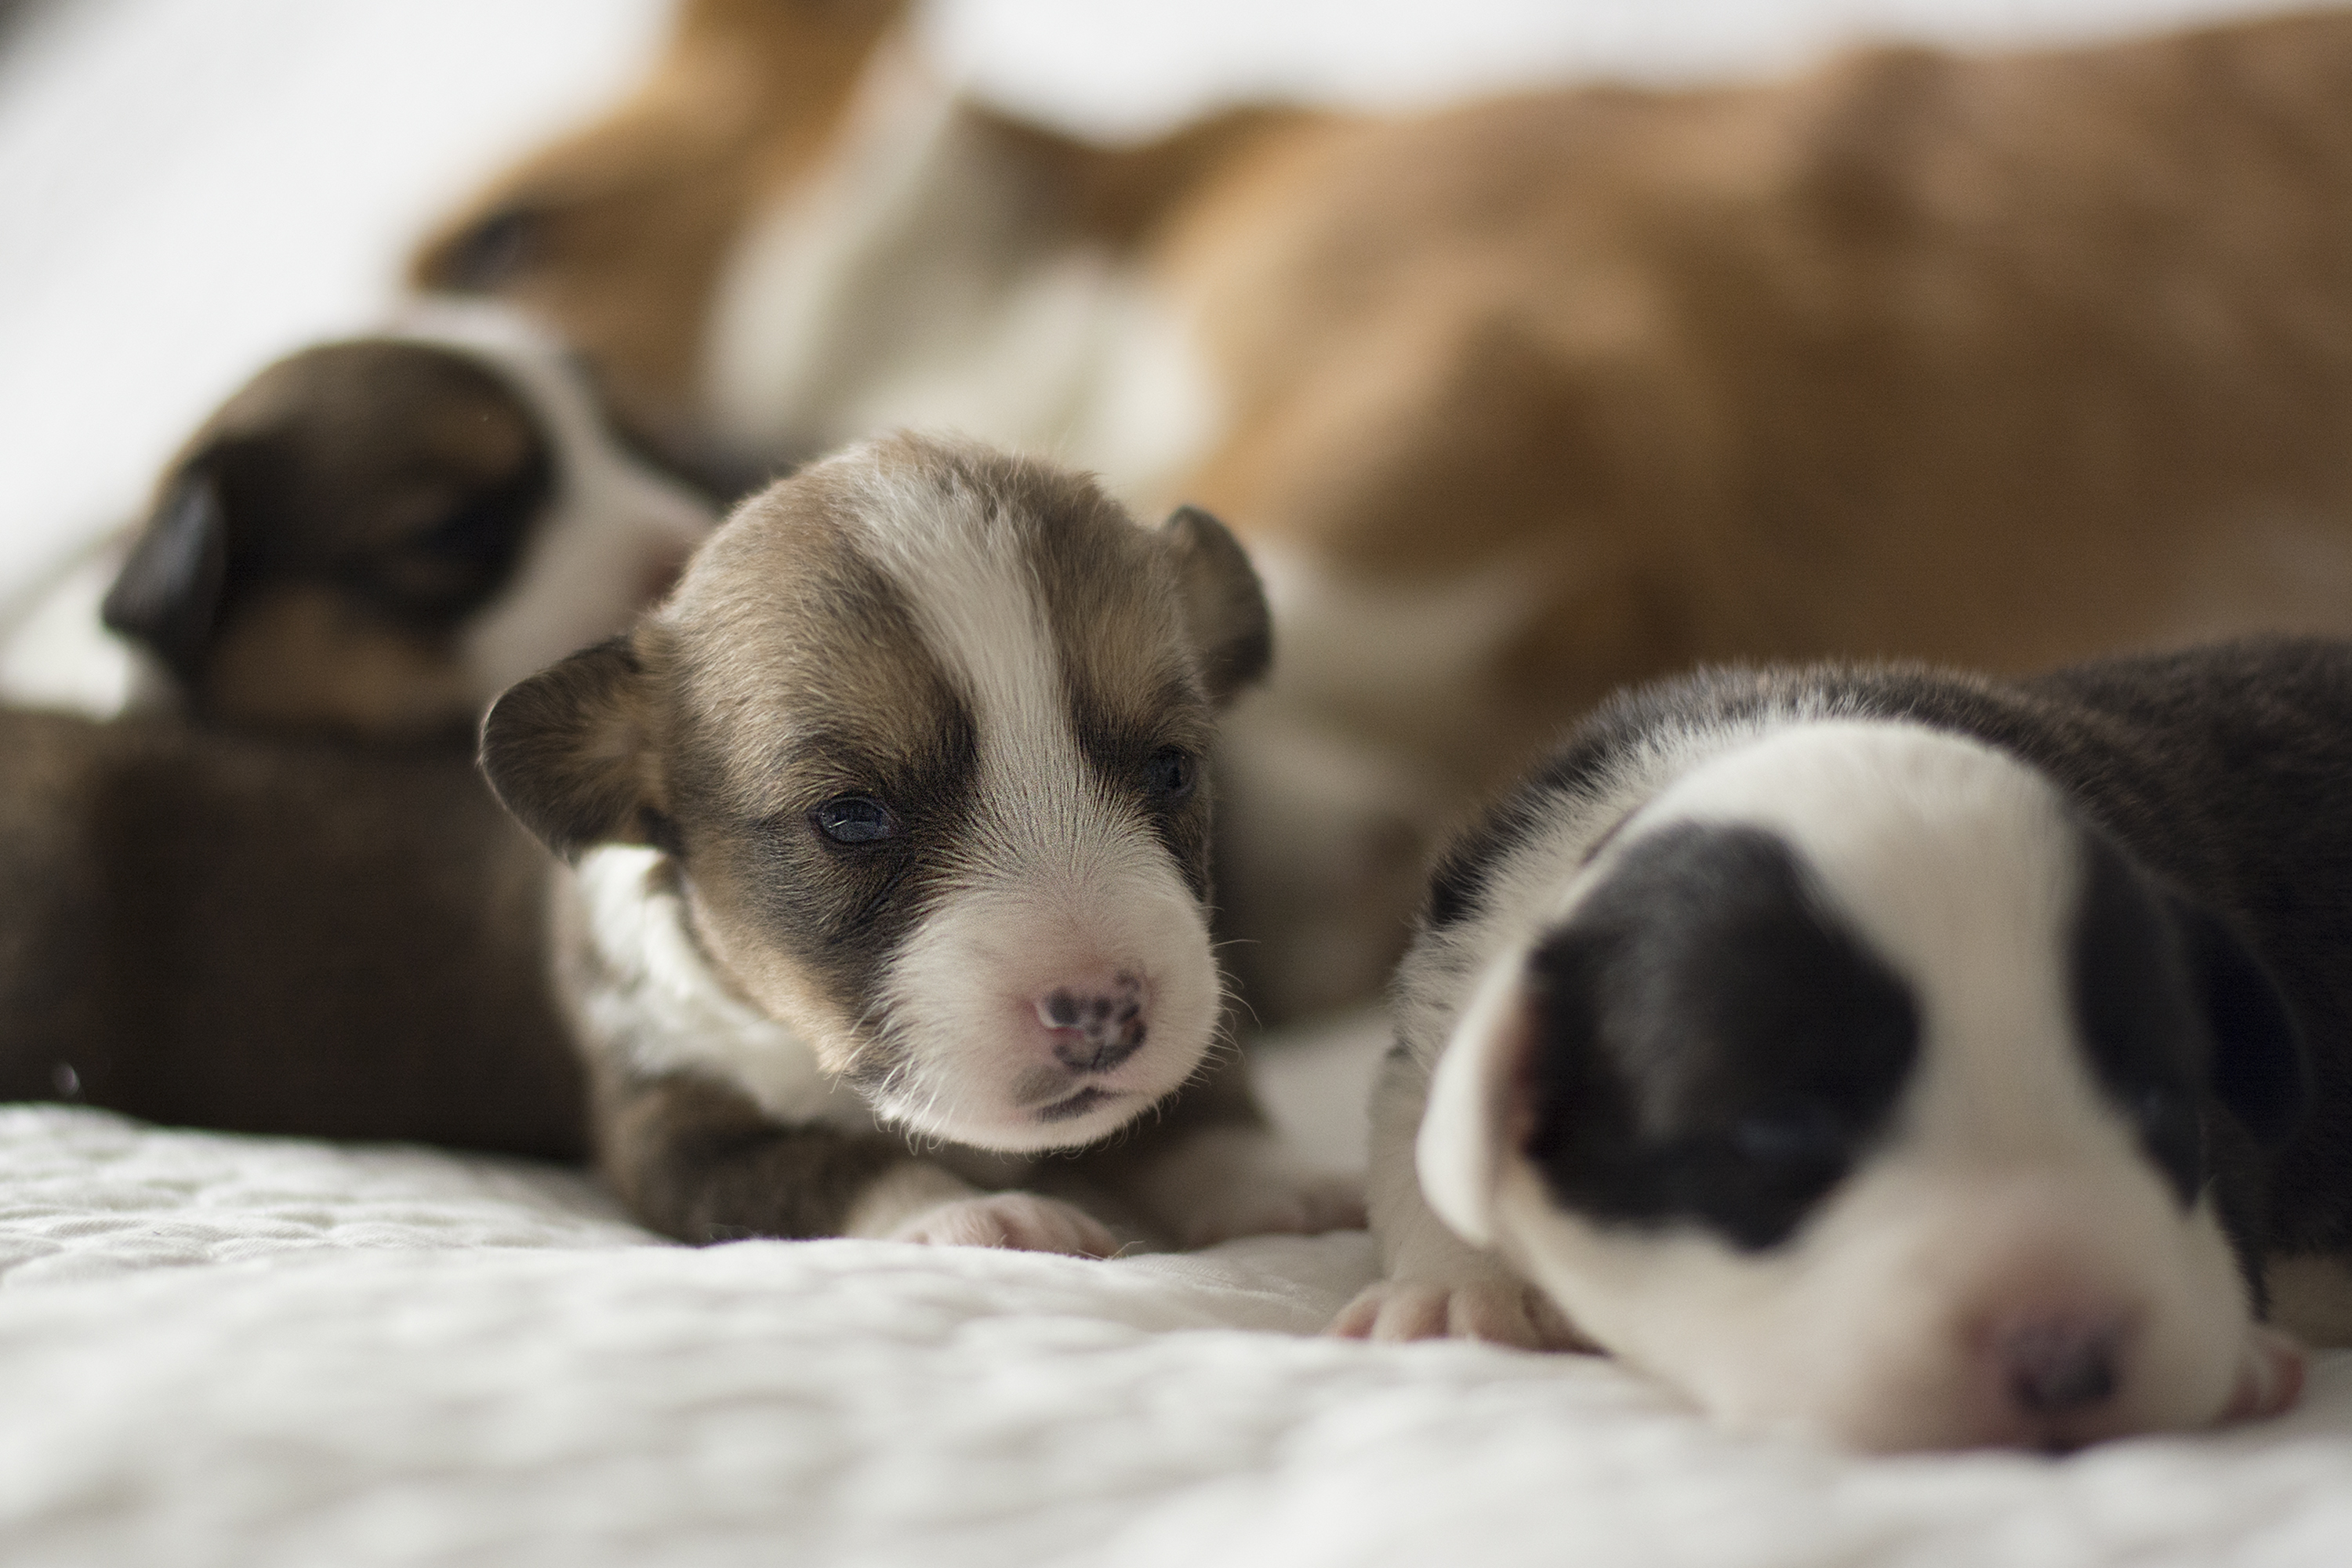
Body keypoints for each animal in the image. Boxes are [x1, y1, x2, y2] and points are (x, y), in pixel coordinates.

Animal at [477, 434, 1364, 1260]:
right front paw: (980, 1216)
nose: (1100, 1011)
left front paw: (1281, 1183)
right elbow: (830, 1164)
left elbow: (1200, 1106)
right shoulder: (672, 1123)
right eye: (852, 816)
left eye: (1173, 767)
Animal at [1336, 639, 2343, 1457]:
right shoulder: (1451, 996)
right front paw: (1458, 1290)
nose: (2068, 1356)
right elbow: (1424, 1150)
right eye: (1782, 1130)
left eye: (2158, 1102)